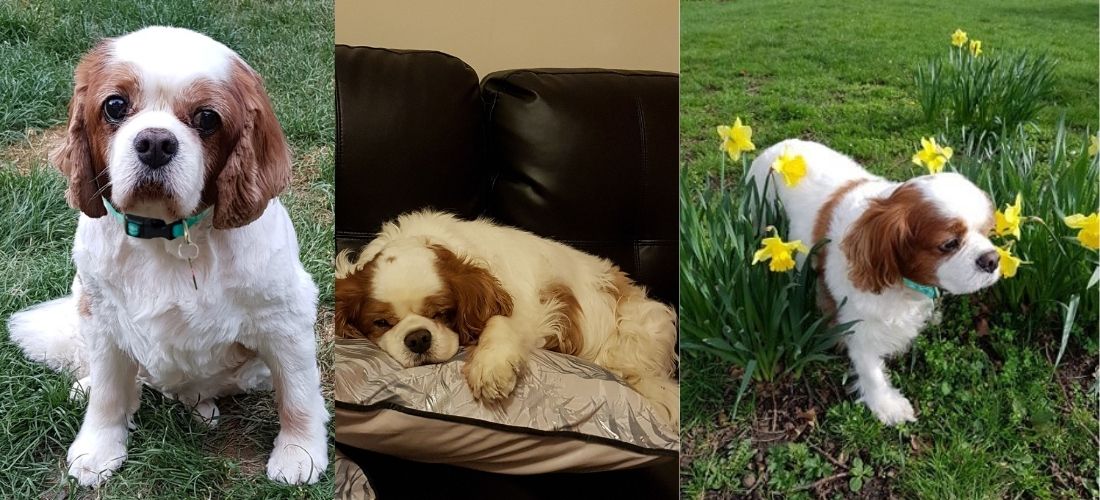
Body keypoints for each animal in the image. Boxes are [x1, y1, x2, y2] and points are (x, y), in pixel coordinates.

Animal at [7, 26, 325, 485]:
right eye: (115, 106)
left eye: (207, 118)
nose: (155, 142)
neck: (164, 235)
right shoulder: (101, 316)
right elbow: (108, 393)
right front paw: (98, 447)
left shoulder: (285, 317)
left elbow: (298, 393)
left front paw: (300, 454)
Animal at [334, 209, 677, 428]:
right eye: (381, 323)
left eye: (441, 313)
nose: (418, 338)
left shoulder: (523, 303)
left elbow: (499, 322)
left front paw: (491, 368)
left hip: (639, 329)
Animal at [752, 140, 1003, 426]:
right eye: (949, 244)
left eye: (985, 232)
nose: (992, 259)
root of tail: (776, 147)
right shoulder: (858, 323)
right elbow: (870, 369)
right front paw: (886, 404)